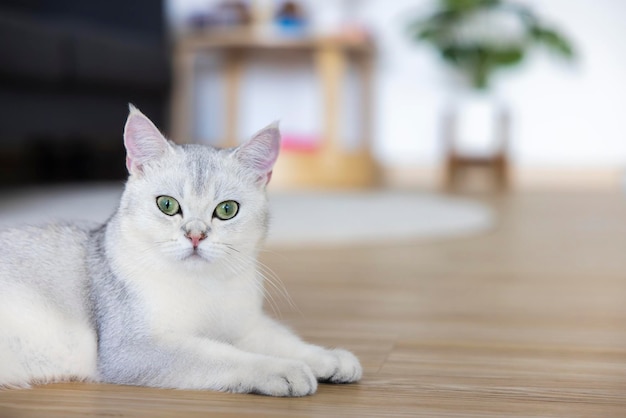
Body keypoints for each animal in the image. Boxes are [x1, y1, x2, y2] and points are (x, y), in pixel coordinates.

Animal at [0, 106, 360, 396]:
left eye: (227, 210)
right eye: (167, 205)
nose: (196, 235)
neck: (202, 287)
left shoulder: (244, 324)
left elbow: (281, 339)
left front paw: (328, 357)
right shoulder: (133, 348)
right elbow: (220, 355)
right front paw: (282, 370)